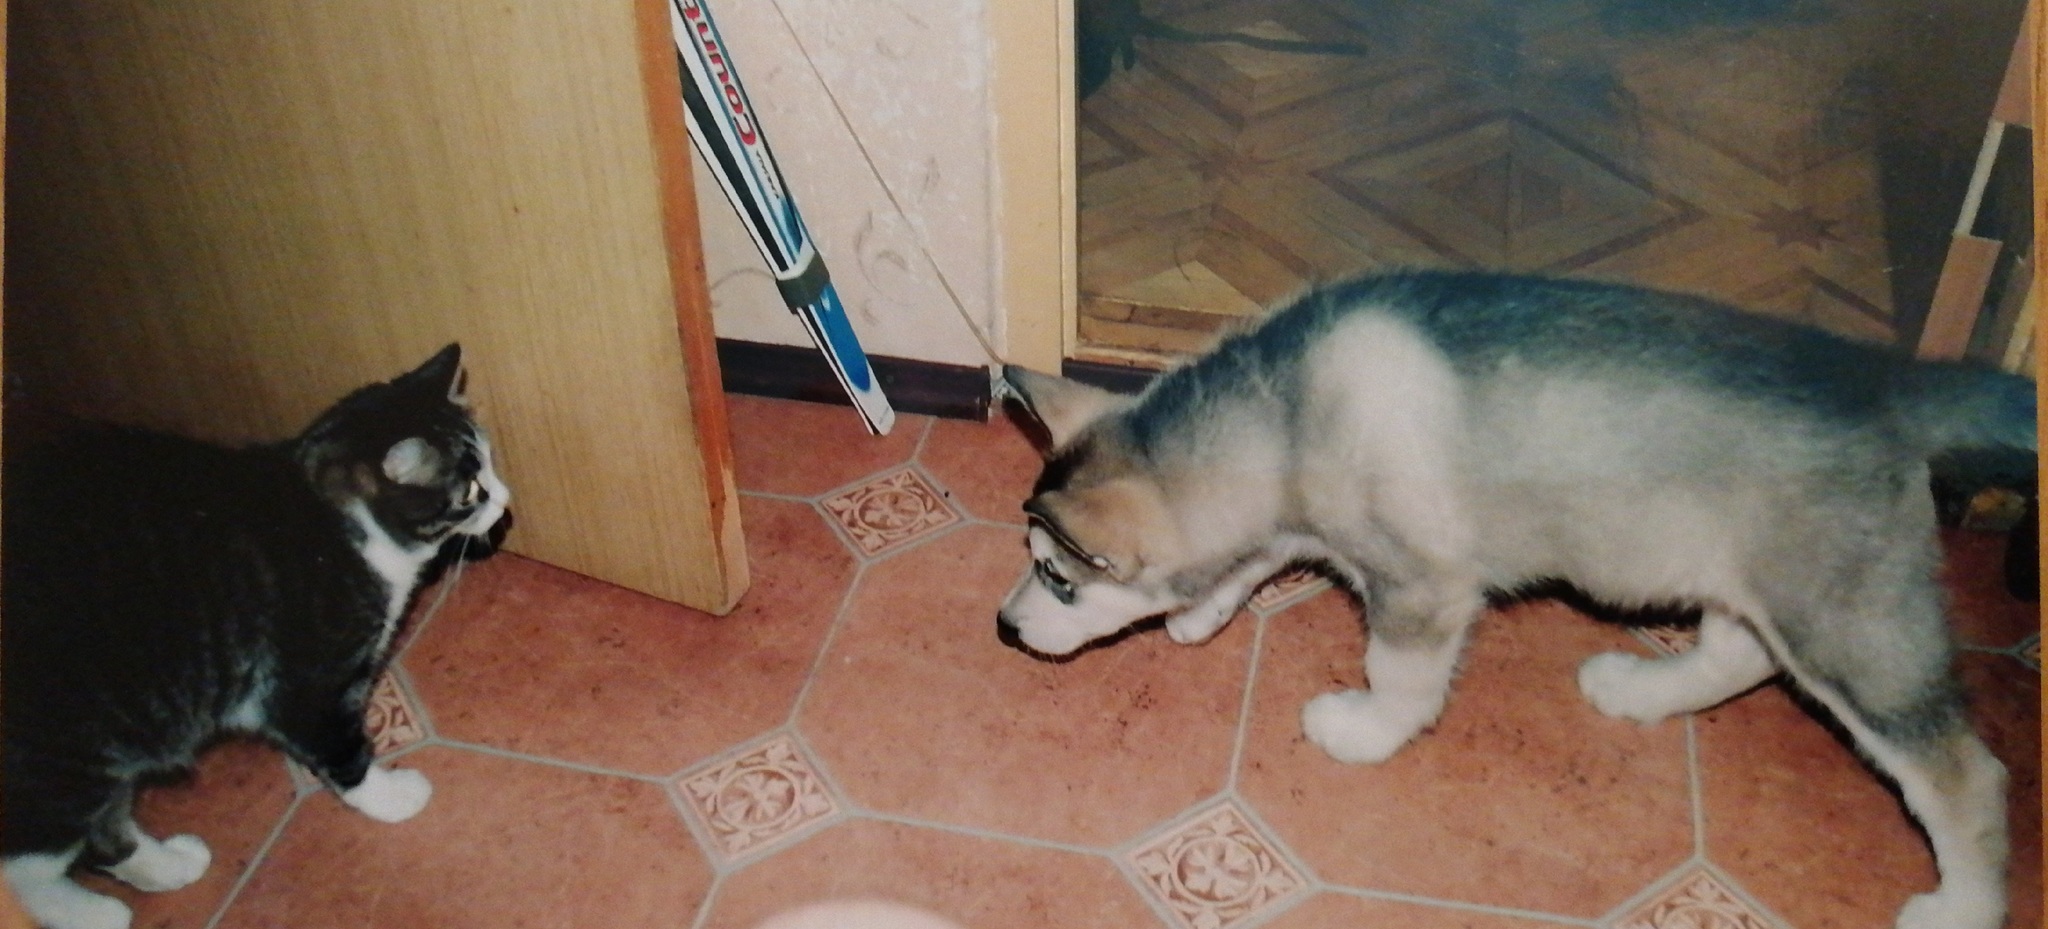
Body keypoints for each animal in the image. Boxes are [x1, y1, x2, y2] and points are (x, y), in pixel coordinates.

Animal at [1, 343, 512, 929]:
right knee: (29, 868)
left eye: (491, 463)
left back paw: (168, 867)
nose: (506, 501)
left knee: (106, 826)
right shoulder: (302, 679)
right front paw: (391, 797)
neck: (340, 521)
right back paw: (87, 913)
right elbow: (341, 751)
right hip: (56, 764)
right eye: (470, 490)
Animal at [995, 268, 2031, 929]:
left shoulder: (1423, 580)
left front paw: (1366, 729)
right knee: (1740, 650)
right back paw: (1642, 691)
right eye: (1031, 562)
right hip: (1745, 573)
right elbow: (1259, 555)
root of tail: (1887, 384)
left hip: (1848, 620)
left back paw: (1962, 907)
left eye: (1059, 577)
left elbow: (1397, 671)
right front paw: (1202, 610)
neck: (1280, 409)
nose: (1005, 625)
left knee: (1966, 775)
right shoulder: (1305, 513)